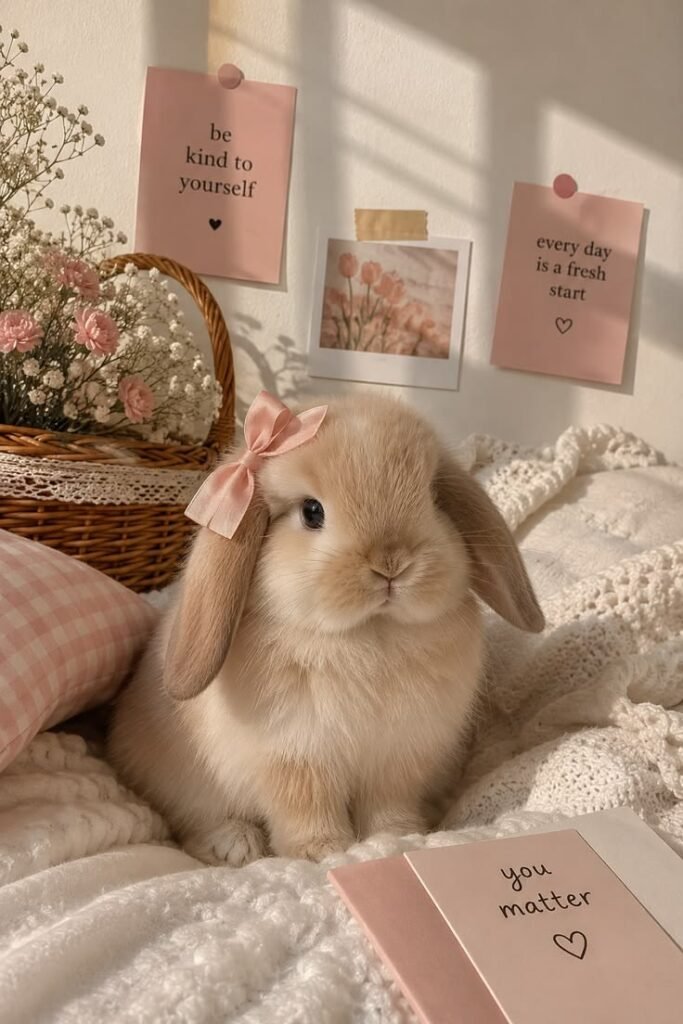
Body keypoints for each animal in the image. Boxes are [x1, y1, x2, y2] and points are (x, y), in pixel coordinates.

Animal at [108, 392, 544, 866]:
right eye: (311, 512)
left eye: (432, 498)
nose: (391, 564)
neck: (370, 636)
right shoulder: (295, 760)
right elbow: (306, 808)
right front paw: (323, 852)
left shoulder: (399, 759)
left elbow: (389, 805)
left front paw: (398, 837)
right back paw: (235, 844)